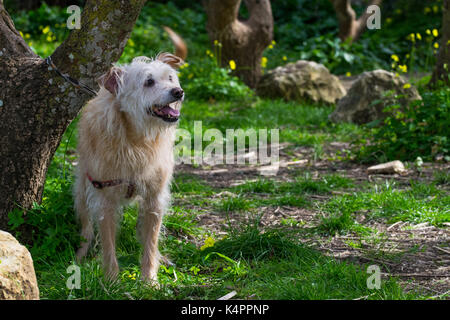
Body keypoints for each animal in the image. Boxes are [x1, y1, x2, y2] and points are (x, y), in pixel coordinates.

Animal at [74, 52, 185, 282]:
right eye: (148, 82)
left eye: (170, 78)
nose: (178, 92)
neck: (137, 141)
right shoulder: (104, 199)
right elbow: (108, 244)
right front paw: (111, 280)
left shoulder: (154, 198)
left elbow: (151, 242)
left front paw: (149, 279)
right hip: (81, 190)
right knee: (86, 228)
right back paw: (81, 255)